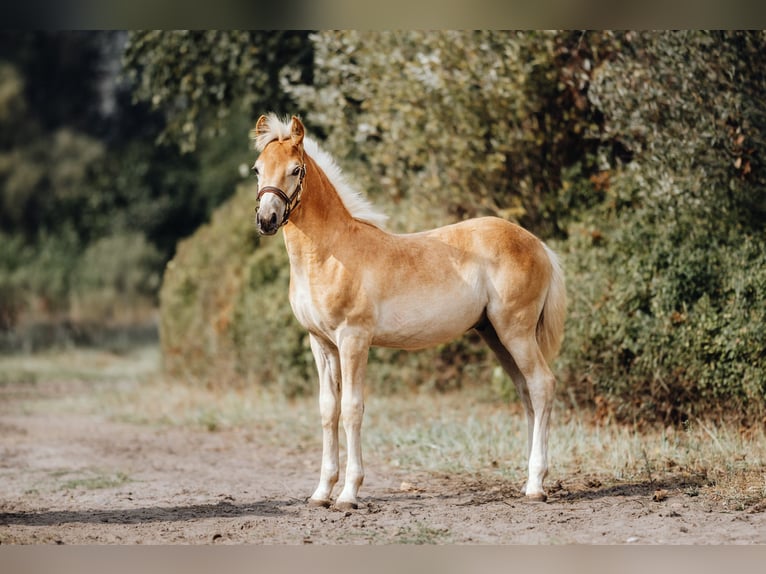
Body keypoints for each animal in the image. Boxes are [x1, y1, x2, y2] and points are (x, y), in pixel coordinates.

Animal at [250, 115, 564, 510]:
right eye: (257, 169)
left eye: (296, 169)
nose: (267, 219)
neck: (329, 253)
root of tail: (538, 244)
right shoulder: (321, 343)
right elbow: (327, 410)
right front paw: (322, 493)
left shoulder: (354, 339)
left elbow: (352, 408)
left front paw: (348, 494)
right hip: (495, 334)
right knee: (526, 392)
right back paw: (528, 480)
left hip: (515, 331)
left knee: (542, 385)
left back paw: (536, 485)